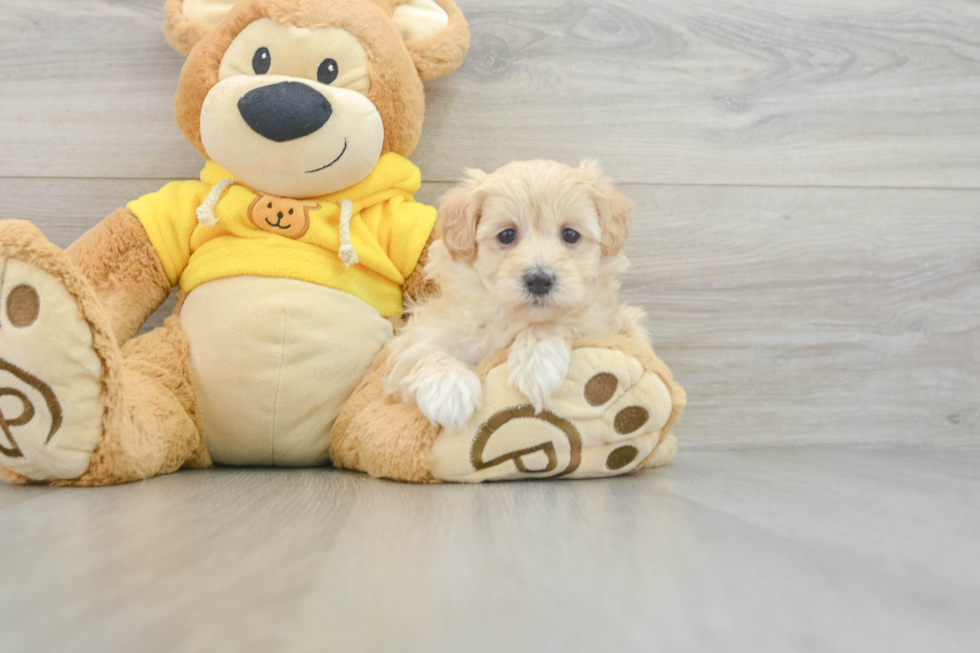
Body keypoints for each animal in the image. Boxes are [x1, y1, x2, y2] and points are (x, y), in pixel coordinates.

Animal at [384, 160, 652, 430]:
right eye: (506, 235)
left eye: (570, 234)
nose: (539, 280)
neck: (512, 316)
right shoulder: (421, 337)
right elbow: (421, 353)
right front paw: (449, 392)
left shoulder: (603, 326)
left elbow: (553, 323)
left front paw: (537, 365)